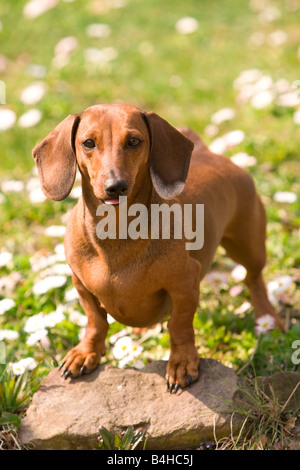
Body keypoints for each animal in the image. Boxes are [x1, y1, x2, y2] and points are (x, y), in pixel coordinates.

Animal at [32, 103, 284, 392]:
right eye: (88, 143)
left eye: (134, 141)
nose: (115, 187)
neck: (116, 235)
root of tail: (209, 153)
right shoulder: (81, 285)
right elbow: (95, 321)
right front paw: (86, 353)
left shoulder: (186, 282)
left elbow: (179, 325)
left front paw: (182, 362)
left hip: (248, 246)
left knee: (254, 280)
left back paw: (270, 319)